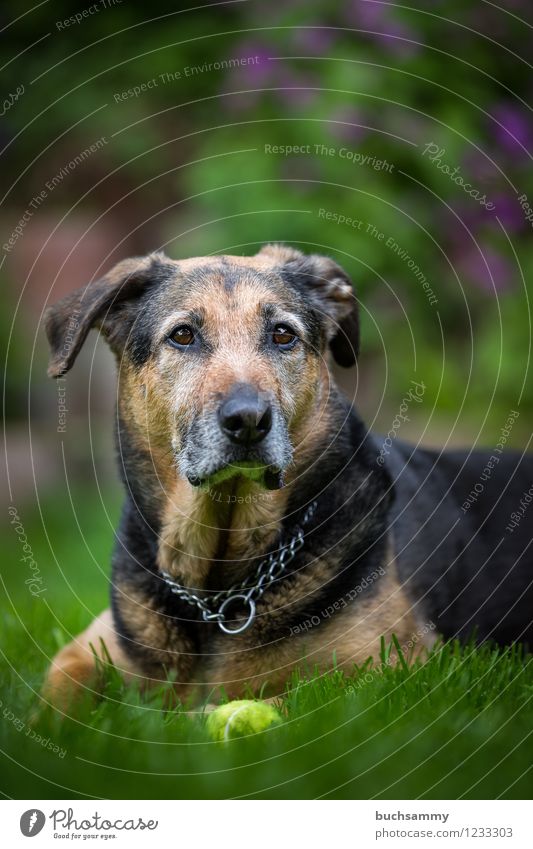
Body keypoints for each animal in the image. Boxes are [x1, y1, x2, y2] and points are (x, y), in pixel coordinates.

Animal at [42, 243, 532, 708]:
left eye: (283, 335)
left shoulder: (389, 675)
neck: (217, 590)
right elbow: (55, 694)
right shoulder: (88, 647)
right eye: (182, 335)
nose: (248, 420)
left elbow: (245, 706)